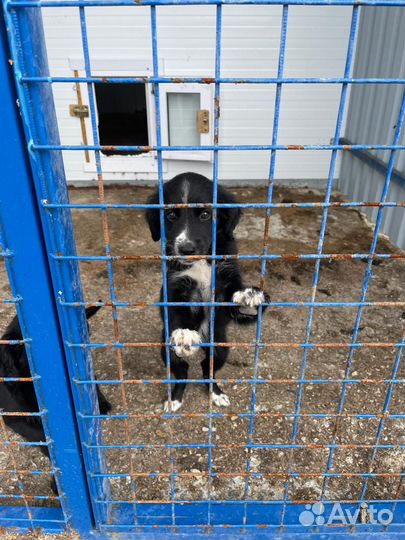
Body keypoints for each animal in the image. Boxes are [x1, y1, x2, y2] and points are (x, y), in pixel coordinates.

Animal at [145, 171, 268, 412]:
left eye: (204, 214)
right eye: (170, 215)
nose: (186, 249)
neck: (201, 262)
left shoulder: (227, 274)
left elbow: (234, 291)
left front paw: (250, 293)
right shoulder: (174, 285)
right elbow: (174, 310)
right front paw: (183, 333)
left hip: (220, 348)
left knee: (206, 369)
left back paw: (216, 393)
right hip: (167, 351)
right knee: (182, 371)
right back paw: (175, 398)